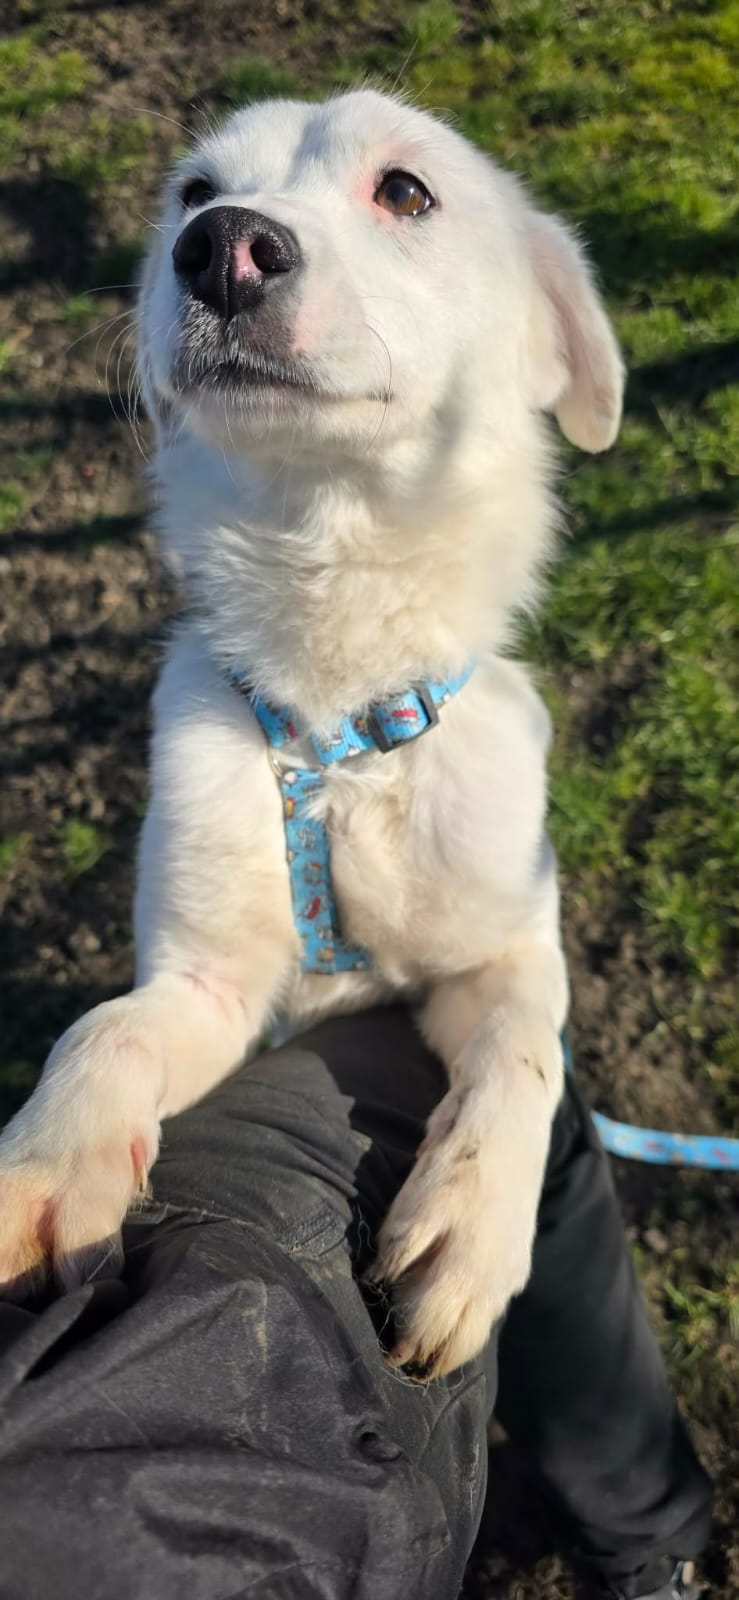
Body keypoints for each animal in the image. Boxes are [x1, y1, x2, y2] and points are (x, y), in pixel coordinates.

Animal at [0, 89, 623, 1377]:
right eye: (192, 192)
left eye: (406, 190)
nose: (223, 248)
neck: (339, 732)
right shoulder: (208, 987)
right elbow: (100, 1031)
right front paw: (45, 1168)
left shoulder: (506, 948)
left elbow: (524, 1049)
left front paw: (470, 1228)